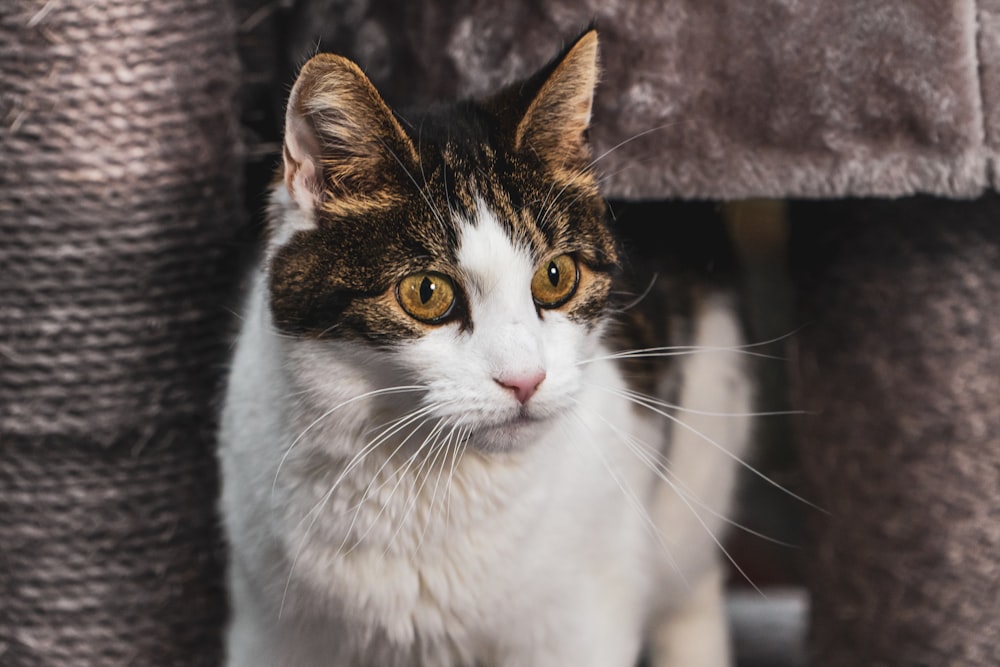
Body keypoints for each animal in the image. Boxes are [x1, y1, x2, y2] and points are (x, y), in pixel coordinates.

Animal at [219, 28, 752, 664]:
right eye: (426, 292)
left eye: (556, 277)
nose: (526, 379)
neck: (419, 487)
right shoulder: (269, 631)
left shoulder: (581, 628)